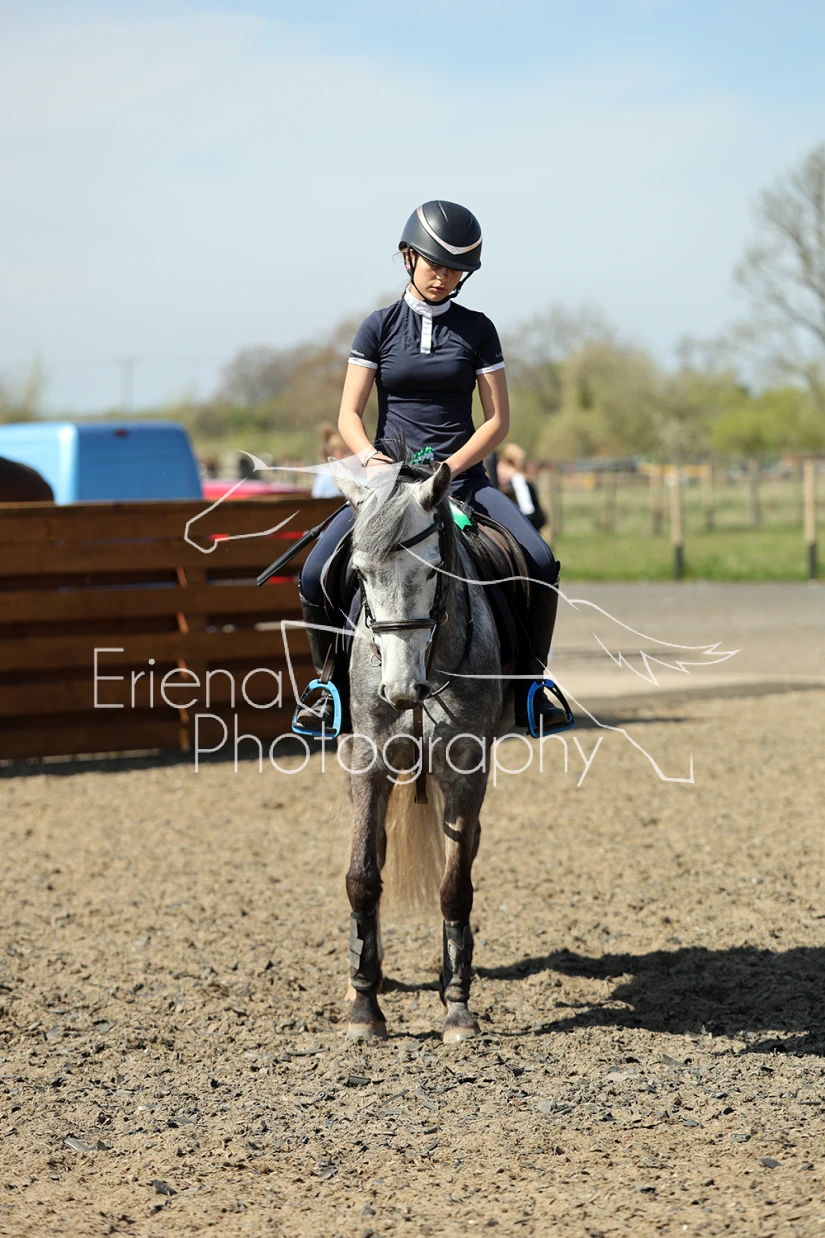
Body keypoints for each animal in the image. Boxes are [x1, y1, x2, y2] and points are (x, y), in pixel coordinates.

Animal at [331, 459, 508, 1044]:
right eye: (360, 575)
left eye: (432, 573)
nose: (401, 689)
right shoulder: (368, 763)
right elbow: (362, 877)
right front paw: (364, 1009)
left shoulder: (466, 771)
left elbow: (455, 888)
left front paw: (457, 1008)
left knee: (468, 847)